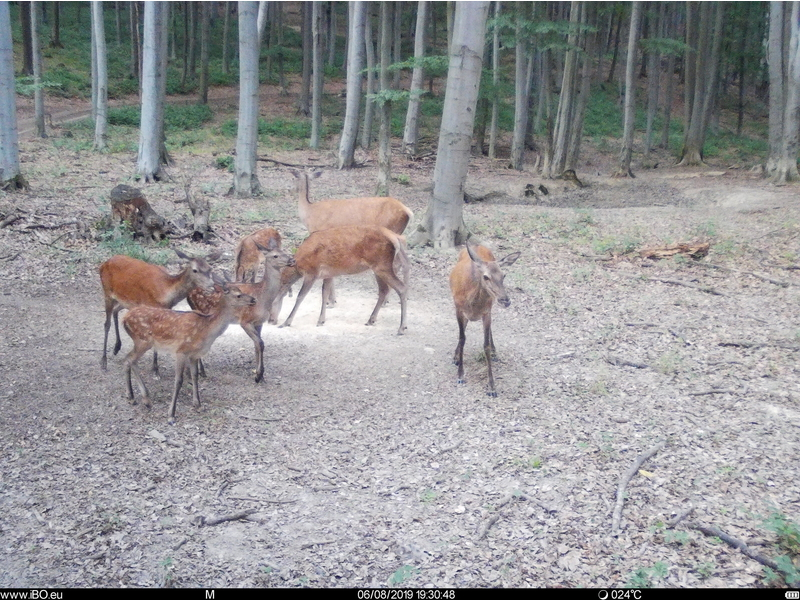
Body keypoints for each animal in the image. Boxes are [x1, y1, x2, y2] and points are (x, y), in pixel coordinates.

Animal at [122, 280, 256, 424]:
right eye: (238, 295)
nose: (253, 300)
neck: (206, 330)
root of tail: (124, 318)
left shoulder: (194, 355)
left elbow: (194, 376)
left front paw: (198, 405)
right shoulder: (181, 351)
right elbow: (178, 381)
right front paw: (171, 415)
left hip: (141, 342)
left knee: (128, 359)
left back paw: (134, 397)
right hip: (143, 340)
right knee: (130, 359)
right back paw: (143, 399)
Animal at [189, 236, 296, 382]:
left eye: (283, 251)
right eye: (275, 255)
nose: (292, 260)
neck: (263, 297)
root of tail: (189, 292)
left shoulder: (259, 322)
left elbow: (258, 345)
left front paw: (260, 375)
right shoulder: (245, 320)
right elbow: (260, 343)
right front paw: (258, 375)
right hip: (201, 310)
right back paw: (201, 371)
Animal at [278, 227, 410, 336]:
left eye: (281, 282)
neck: (299, 264)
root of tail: (397, 238)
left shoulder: (312, 273)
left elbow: (301, 296)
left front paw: (286, 322)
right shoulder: (328, 274)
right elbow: (324, 294)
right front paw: (321, 320)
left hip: (382, 265)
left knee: (401, 287)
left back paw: (401, 328)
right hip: (378, 268)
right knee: (384, 290)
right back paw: (371, 320)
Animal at [290, 169, 412, 310]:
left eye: (294, 178)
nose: (291, 189)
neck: (309, 214)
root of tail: (408, 211)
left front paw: (331, 301)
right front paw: (332, 300)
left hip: (390, 231)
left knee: (397, 264)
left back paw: (386, 300)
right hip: (398, 235)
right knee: (405, 261)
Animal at [446, 239, 520, 398]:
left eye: (504, 275)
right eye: (486, 277)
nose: (505, 301)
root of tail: (477, 245)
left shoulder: (487, 312)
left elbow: (485, 345)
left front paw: (492, 387)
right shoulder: (459, 308)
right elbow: (462, 338)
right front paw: (460, 375)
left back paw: (494, 352)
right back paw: (456, 357)